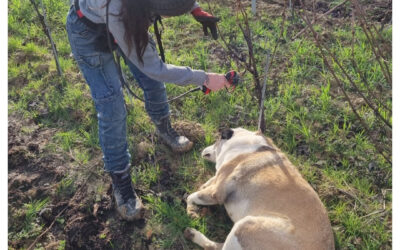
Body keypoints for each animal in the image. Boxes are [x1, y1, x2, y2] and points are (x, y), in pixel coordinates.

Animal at [184, 128, 334, 250]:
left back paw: (194, 234)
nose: (202, 150)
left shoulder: (217, 193)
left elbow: (191, 196)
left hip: (245, 226)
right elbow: (210, 181)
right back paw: (191, 234)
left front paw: (191, 211)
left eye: (216, 140)